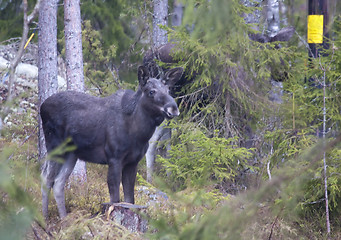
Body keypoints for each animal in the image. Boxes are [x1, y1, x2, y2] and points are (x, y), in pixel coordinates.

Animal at [39, 66, 183, 219]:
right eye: (151, 91)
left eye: (168, 90)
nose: (173, 108)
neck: (138, 134)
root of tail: (42, 106)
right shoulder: (114, 157)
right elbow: (114, 199)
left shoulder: (133, 162)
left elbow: (130, 200)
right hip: (55, 146)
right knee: (46, 178)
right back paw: (45, 218)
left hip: (72, 154)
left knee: (58, 183)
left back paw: (64, 219)